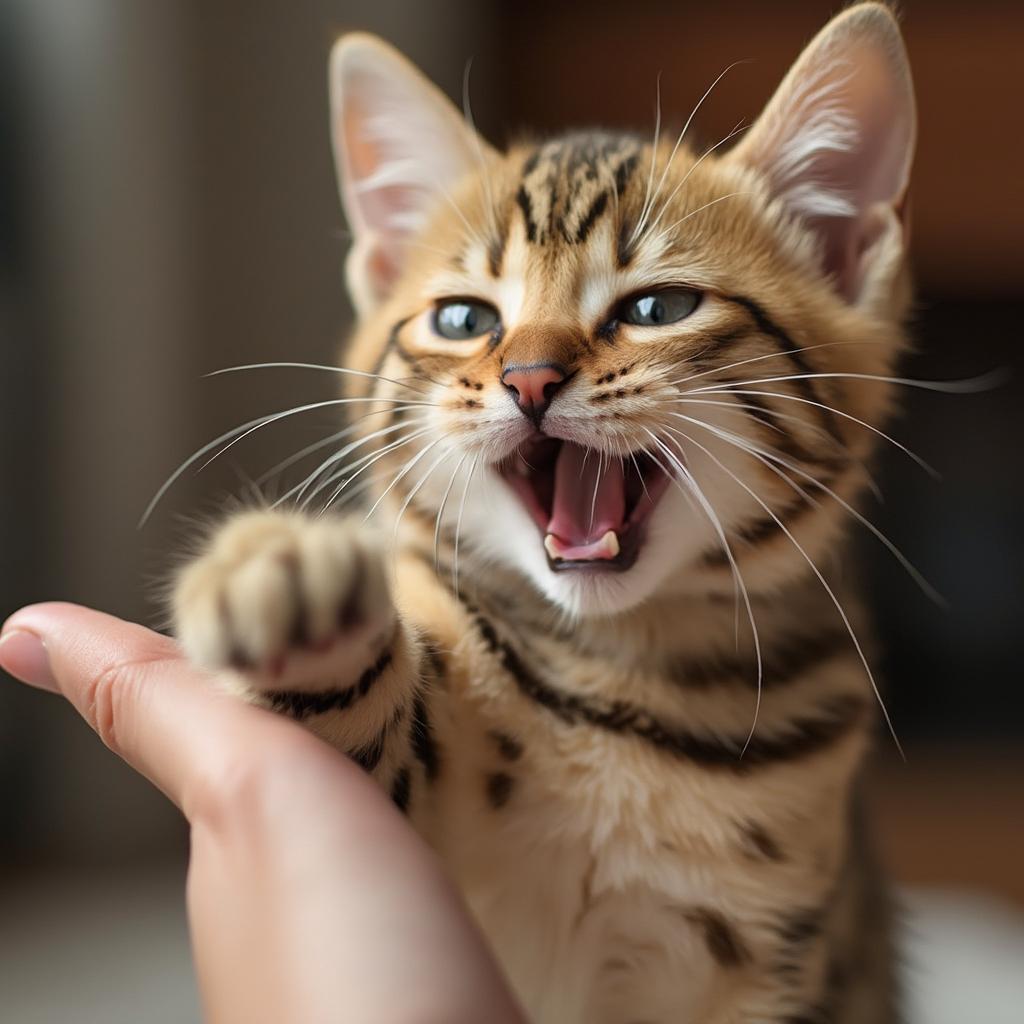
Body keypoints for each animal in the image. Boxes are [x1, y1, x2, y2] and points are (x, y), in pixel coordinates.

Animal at [176, 4, 921, 1019]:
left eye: (659, 306)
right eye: (463, 320)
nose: (529, 378)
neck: (623, 666)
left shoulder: (778, 964)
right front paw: (286, 575)